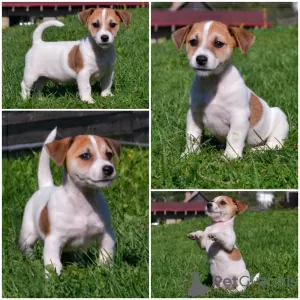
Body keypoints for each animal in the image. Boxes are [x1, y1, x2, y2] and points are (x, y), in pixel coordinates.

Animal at [18, 127, 120, 276]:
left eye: (109, 154)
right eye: (85, 156)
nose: (109, 169)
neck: (83, 201)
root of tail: (46, 186)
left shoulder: (106, 235)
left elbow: (106, 257)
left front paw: (105, 272)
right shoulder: (53, 240)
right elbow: (53, 264)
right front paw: (54, 279)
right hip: (28, 234)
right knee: (27, 248)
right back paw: (32, 261)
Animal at [172, 20, 290, 159]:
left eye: (218, 43)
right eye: (193, 42)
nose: (201, 59)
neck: (213, 83)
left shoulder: (239, 116)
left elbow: (234, 137)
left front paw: (230, 157)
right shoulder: (194, 114)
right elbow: (192, 135)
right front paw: (190, 154)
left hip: (280, 119)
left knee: (275, 144)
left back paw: (257, 150)